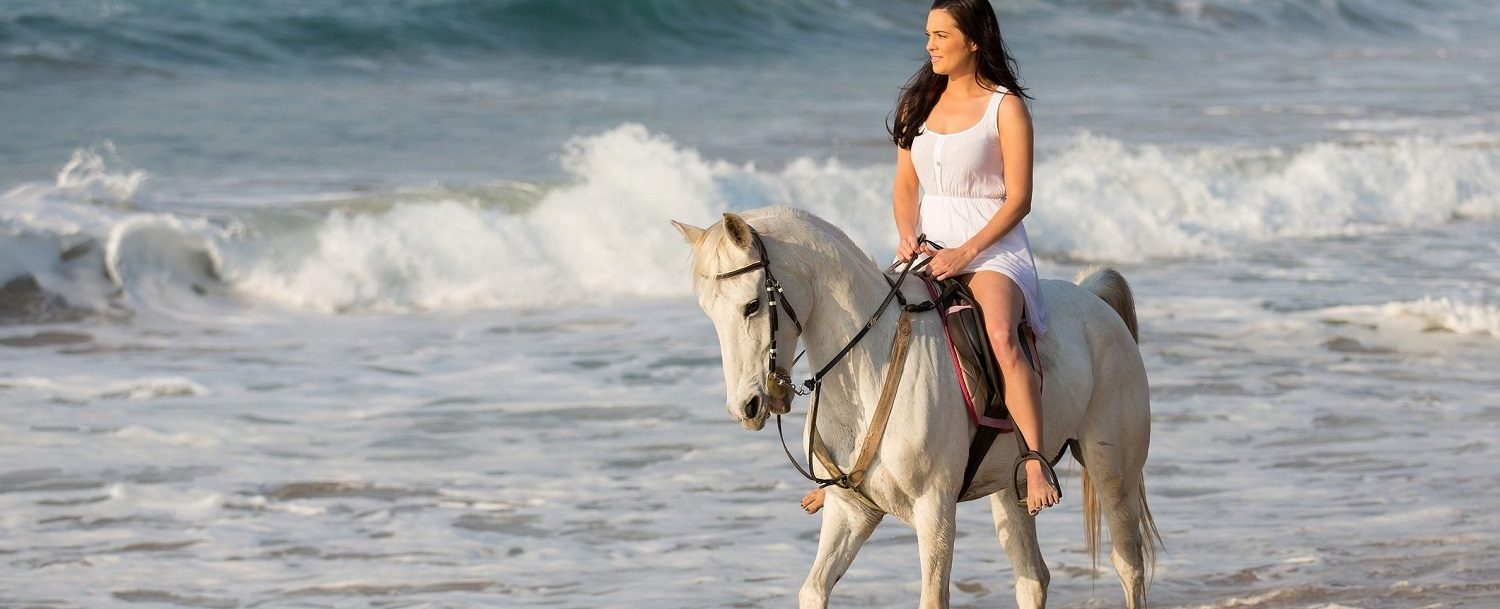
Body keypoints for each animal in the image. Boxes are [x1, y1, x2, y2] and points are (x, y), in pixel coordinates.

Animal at [675, 207, 1164, 606]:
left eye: (752, 305)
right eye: (708, 312)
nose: (747, 406)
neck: (868, 362)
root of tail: (1094, 299)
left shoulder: (935, 511)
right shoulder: (852, 512)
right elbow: (813, 590)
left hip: (1111, 472)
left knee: (1129, 566)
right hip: (1010, 488)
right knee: (1032, 579)